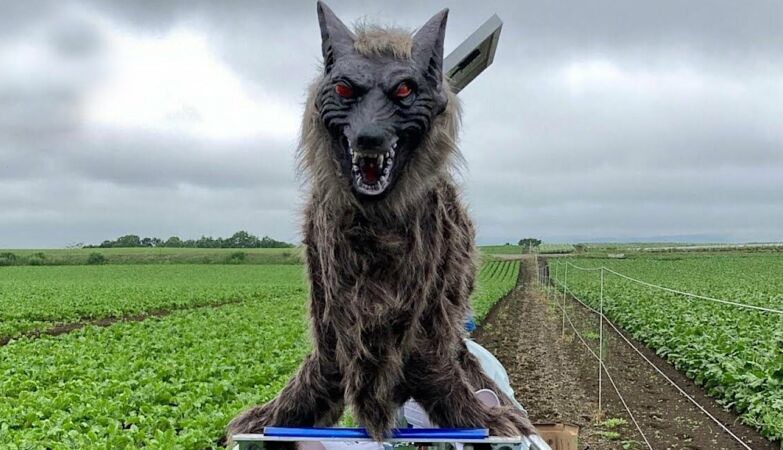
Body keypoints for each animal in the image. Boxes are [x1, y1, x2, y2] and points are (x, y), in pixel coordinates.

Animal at [227, 2, 536, 443]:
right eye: (343, 90)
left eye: (404, 90)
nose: (369, 137)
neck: (375, 224)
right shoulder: (329, 314)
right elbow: (320, 374)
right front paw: (272, 416)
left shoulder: (427, 319)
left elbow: (439, 367)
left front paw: (486, 417)